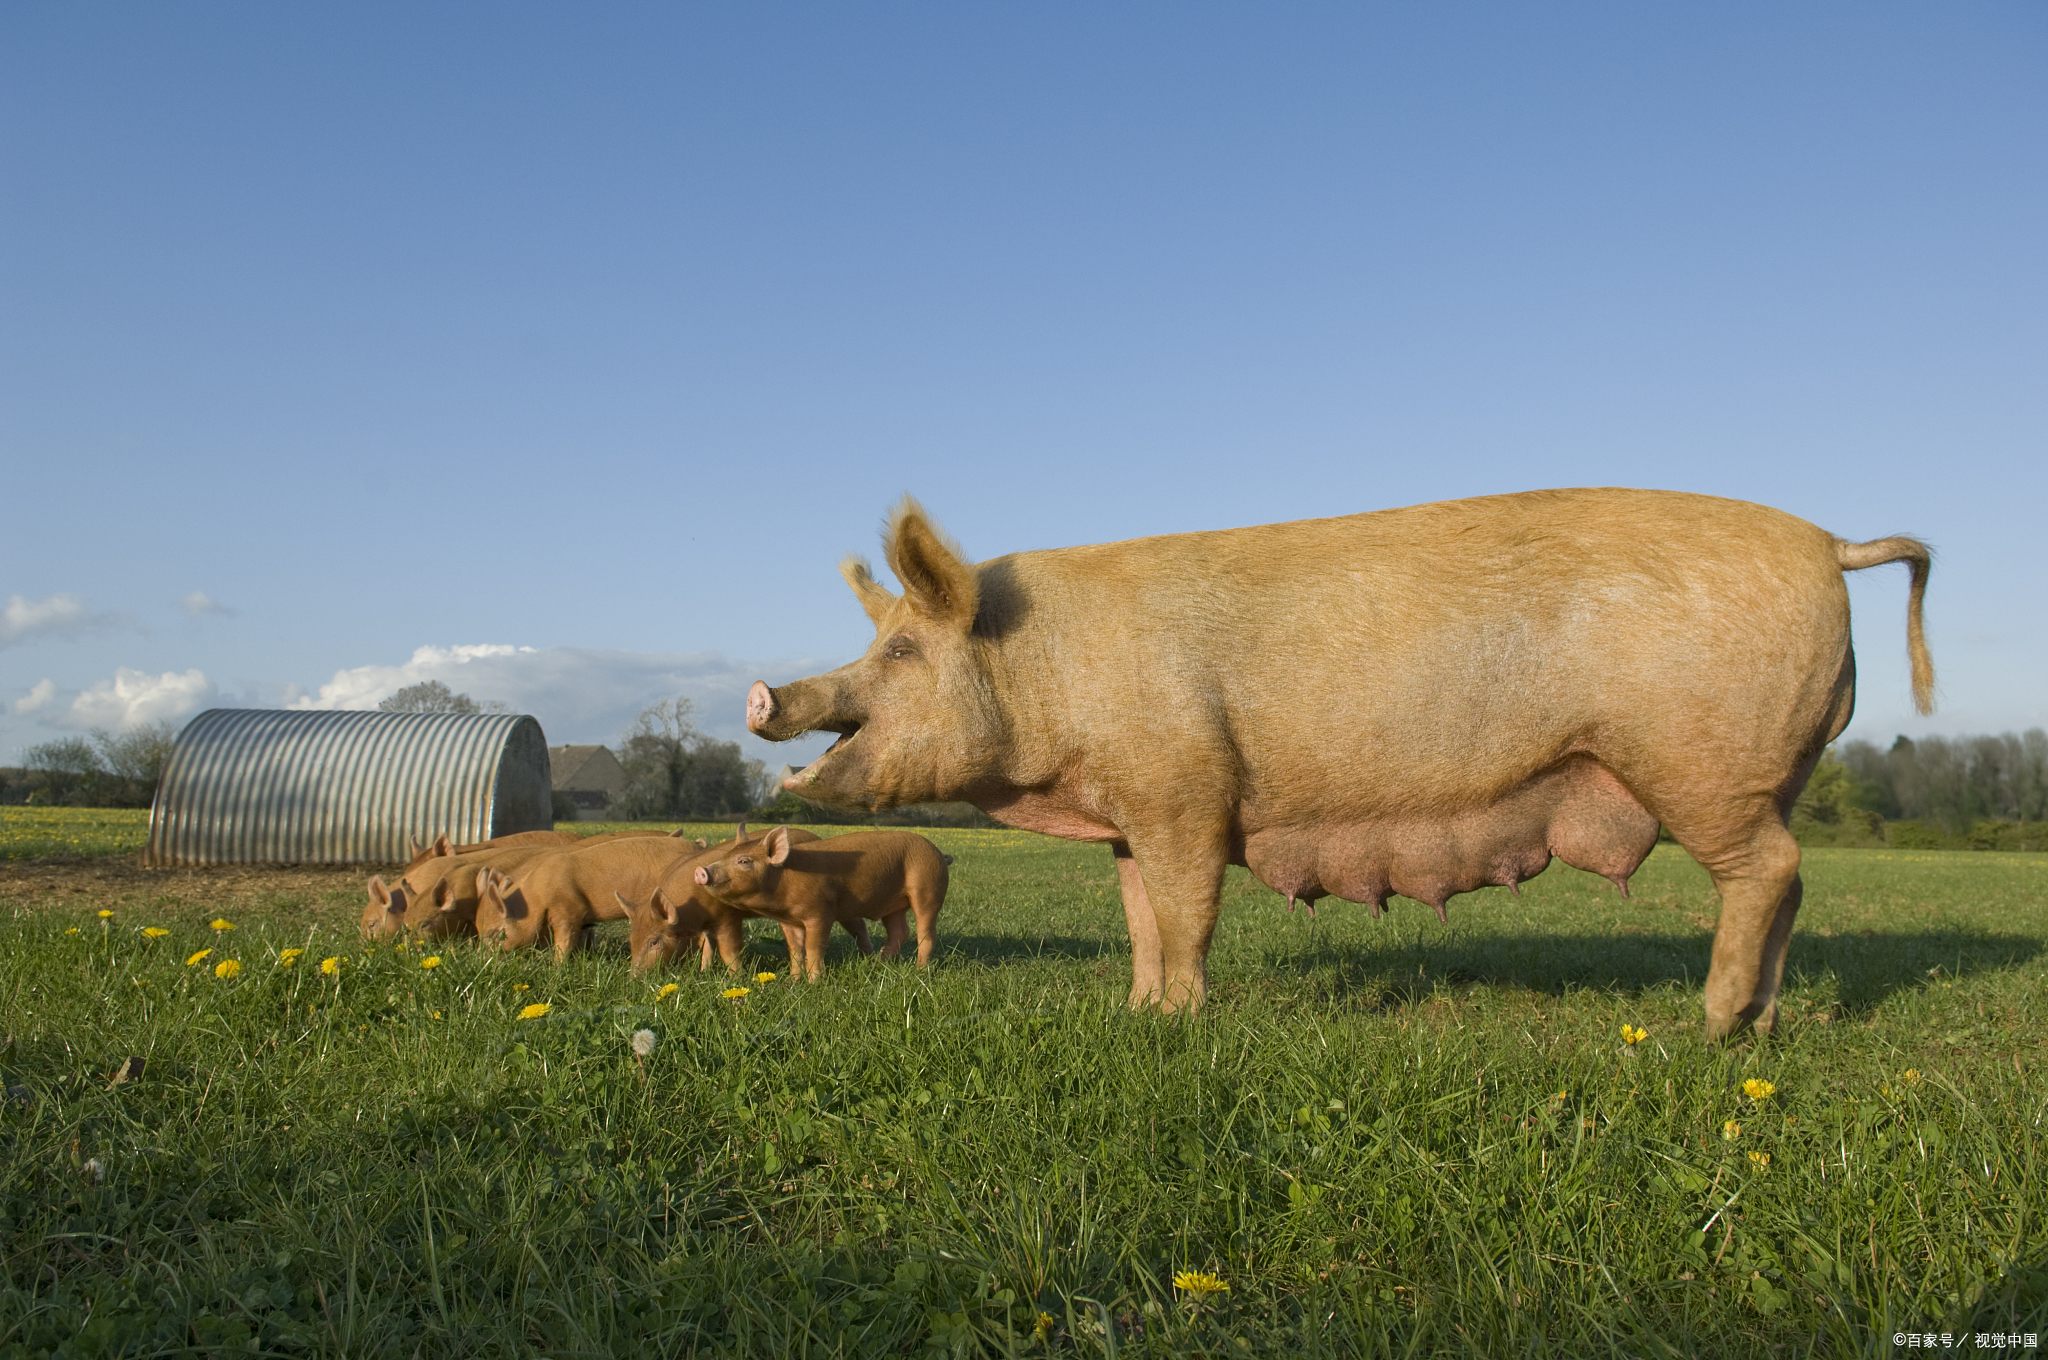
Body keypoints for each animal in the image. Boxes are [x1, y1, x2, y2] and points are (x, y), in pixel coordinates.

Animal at [684, 827, 946, 979]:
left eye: (744, 861)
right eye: (726, 857)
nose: (701, 871)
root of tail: (939, 853)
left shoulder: (820, 911)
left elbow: (814, 947)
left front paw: (814, 982)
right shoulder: (788, 921)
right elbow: (795, 949)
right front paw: (793, 981)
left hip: (928, 887)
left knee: (926, 932)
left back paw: (919, 971)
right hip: (892, 904)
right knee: (900, 930)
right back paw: (879, 964)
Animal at [745, 491, 1925, 1040]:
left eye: (902, 651)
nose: (767, 694)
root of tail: (1829, 544)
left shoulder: (1186, 790)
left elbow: (1187, 913)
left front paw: (1181, 1019)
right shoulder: (1133, 812)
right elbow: (1139, 915)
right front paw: (1136, 1011)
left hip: (1701, 765)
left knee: (1766, 874)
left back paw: (1708, 1026)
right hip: (1760, 775)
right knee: (1788, 882)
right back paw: (1758, 1026)